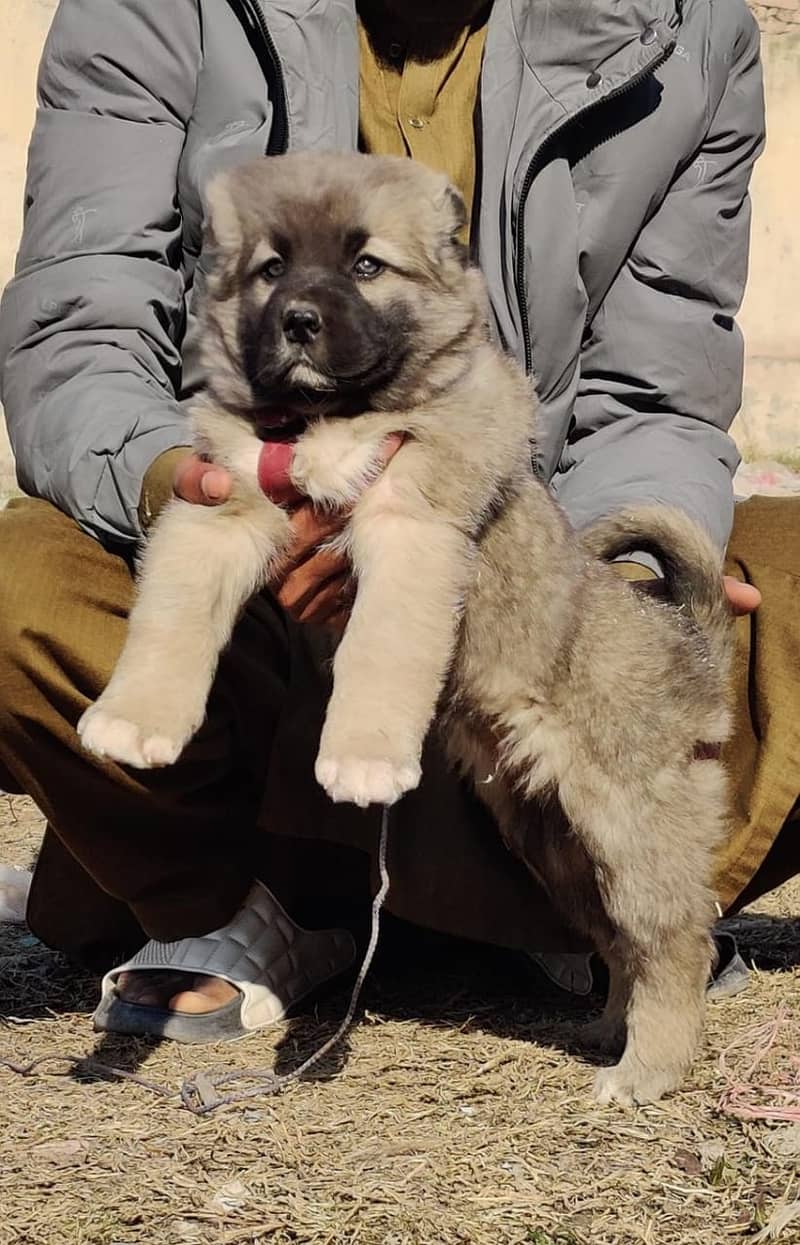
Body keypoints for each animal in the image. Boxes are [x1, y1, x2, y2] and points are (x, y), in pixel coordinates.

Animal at [79, 150, 731, 1105]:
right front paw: (135, 720)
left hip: (627, 824)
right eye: (270, 268)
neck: (331, 416)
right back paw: (607, 1030)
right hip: (560, 848)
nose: (300, 322)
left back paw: (643, 1073)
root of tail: (690, 652)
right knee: (621, 944)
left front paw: (363, 758)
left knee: (676, 943)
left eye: (366, 265)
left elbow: (381, 651)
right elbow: (173, 617)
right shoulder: (219, 509)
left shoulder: (411, 528)